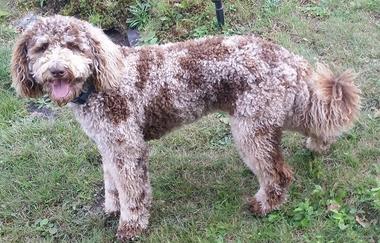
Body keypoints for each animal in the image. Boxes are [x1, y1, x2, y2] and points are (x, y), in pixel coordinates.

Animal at [10, 14, 360, 239]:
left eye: (73, 45)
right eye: (41, 47)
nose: (58, 70)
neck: (100, 80)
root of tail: (288, 58)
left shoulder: (127, 148)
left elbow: (133, 191)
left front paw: (130, 226)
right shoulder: (108, 145)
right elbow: (112, 183)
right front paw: (112, 207)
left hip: (251, 128)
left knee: (278, 173)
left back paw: (264, 204)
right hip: (273, 114)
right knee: (313, 122)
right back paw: (319, 145)